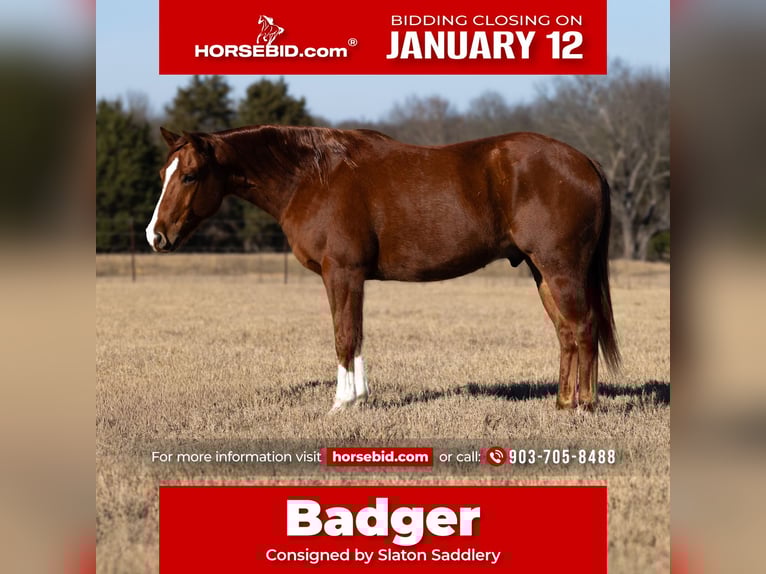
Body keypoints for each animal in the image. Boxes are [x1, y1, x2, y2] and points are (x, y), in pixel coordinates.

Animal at [147, 125, 620, 413]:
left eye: (189, 175)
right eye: (163, 172)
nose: (156, 236)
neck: (312, 177)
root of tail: (585, 161)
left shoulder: (341, 272)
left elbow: (344, 336)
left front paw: (342, 404)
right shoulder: (348, 276)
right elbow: (354, 336)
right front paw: (357, 399)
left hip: (561, 268)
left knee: (583, 328)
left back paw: (586, 407)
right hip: (542, 271)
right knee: (566, 333)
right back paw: (562, 403)